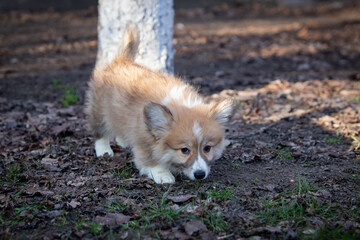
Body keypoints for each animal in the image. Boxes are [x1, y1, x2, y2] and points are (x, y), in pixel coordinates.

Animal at [85, 24, 233, 183]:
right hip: (99, 110)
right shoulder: (144, 142)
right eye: (184, 150)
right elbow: (151, 161)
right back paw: (104, 150)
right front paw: (163, 175)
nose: (200, 174)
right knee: (100, 131)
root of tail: (120, 60)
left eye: (207, 148)